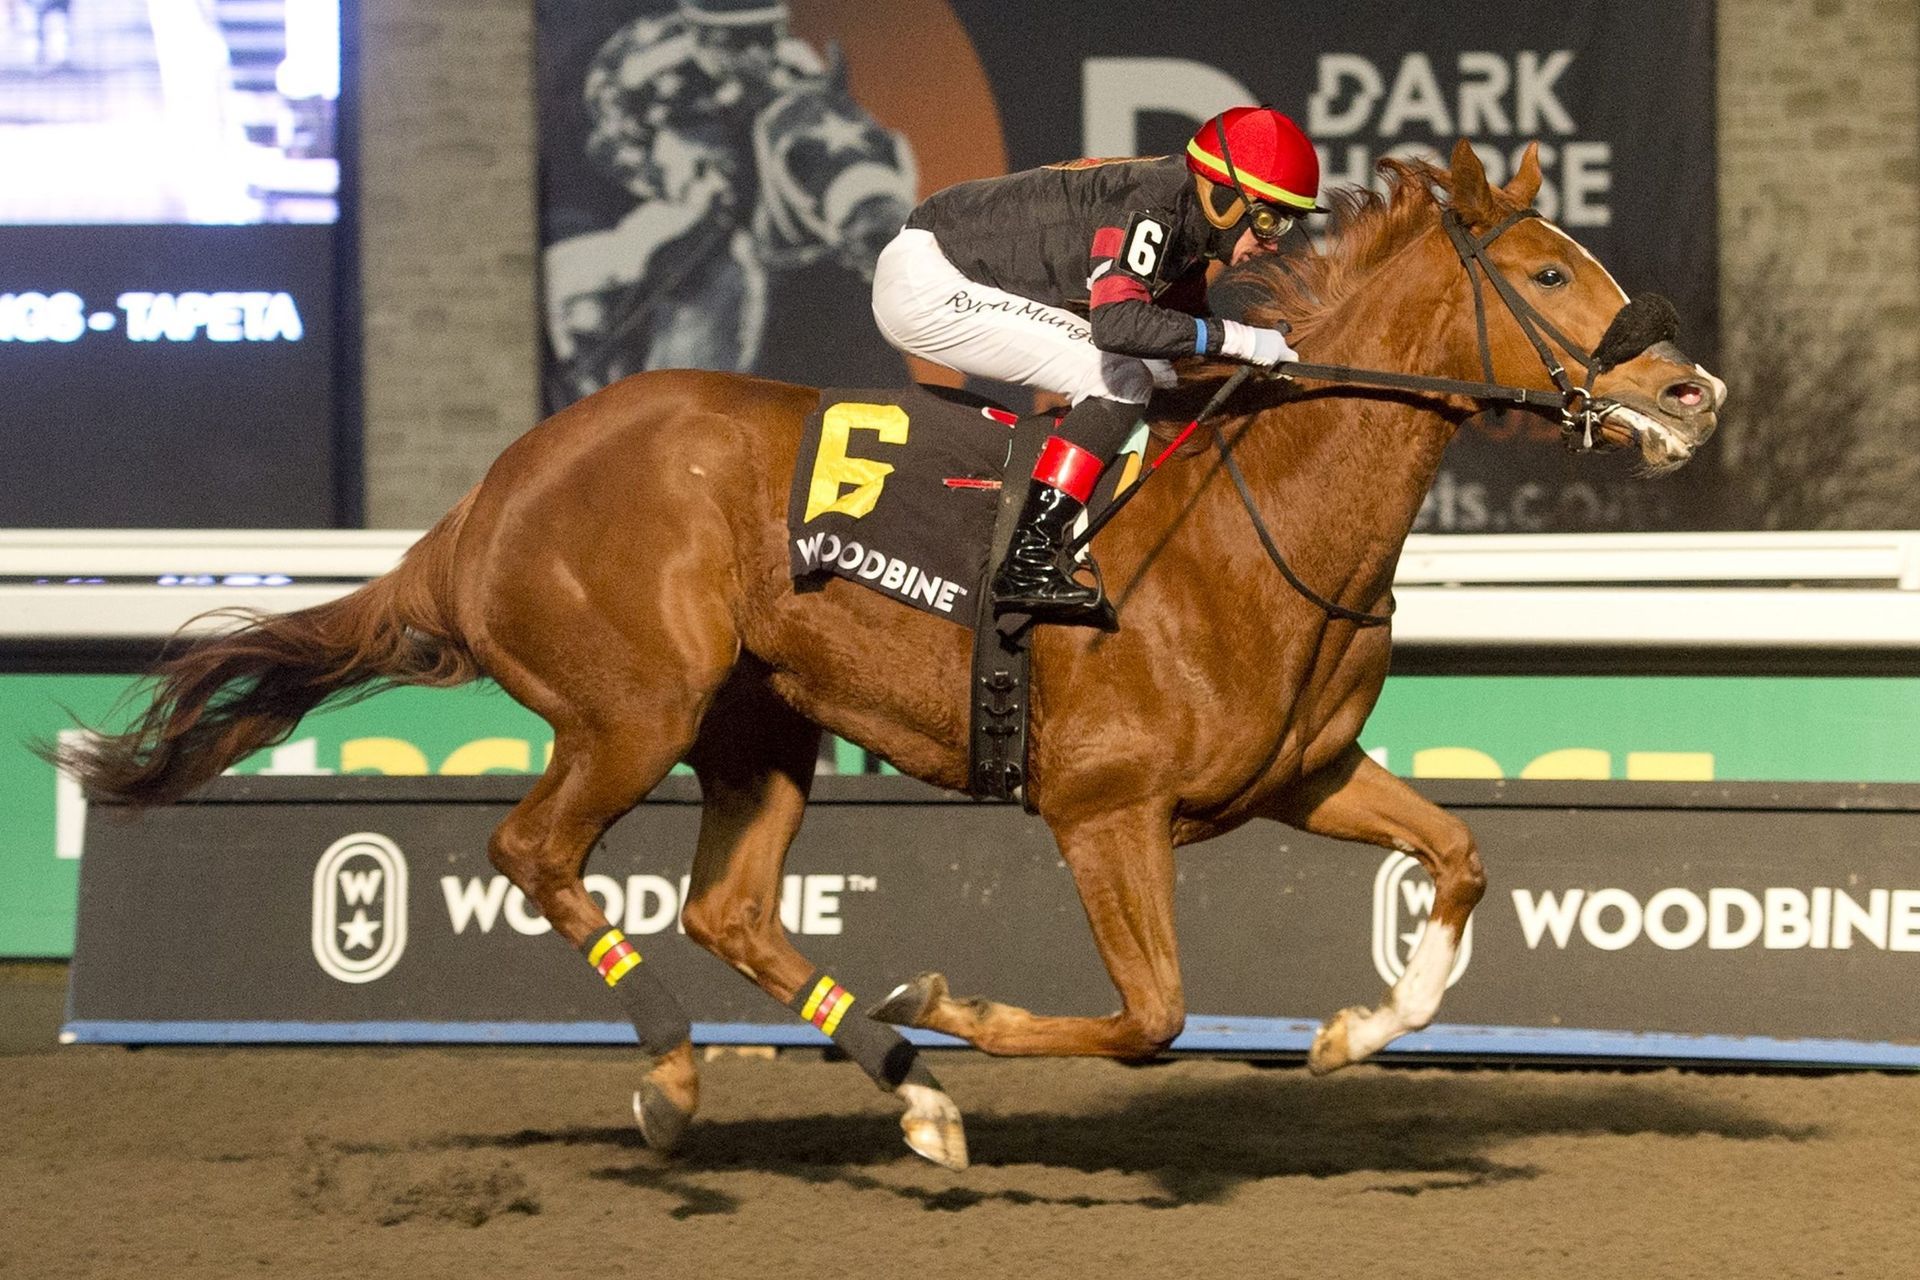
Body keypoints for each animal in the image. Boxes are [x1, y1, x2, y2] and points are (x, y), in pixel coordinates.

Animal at [67, 142, 1728, 1174]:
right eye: (1552, 275)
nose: (1693, 393)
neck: (1265, 518)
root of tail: (486, 500)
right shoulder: (1102, 808)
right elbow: (1151, 1017)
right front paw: (952, 1006)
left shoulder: (1302, 776)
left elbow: (1458, 861)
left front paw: (1350, 1031)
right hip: (632, 707)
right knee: (536, 852)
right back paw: (682, 1076)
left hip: (760, 727)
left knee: (727, 906)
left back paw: (905, 1096)